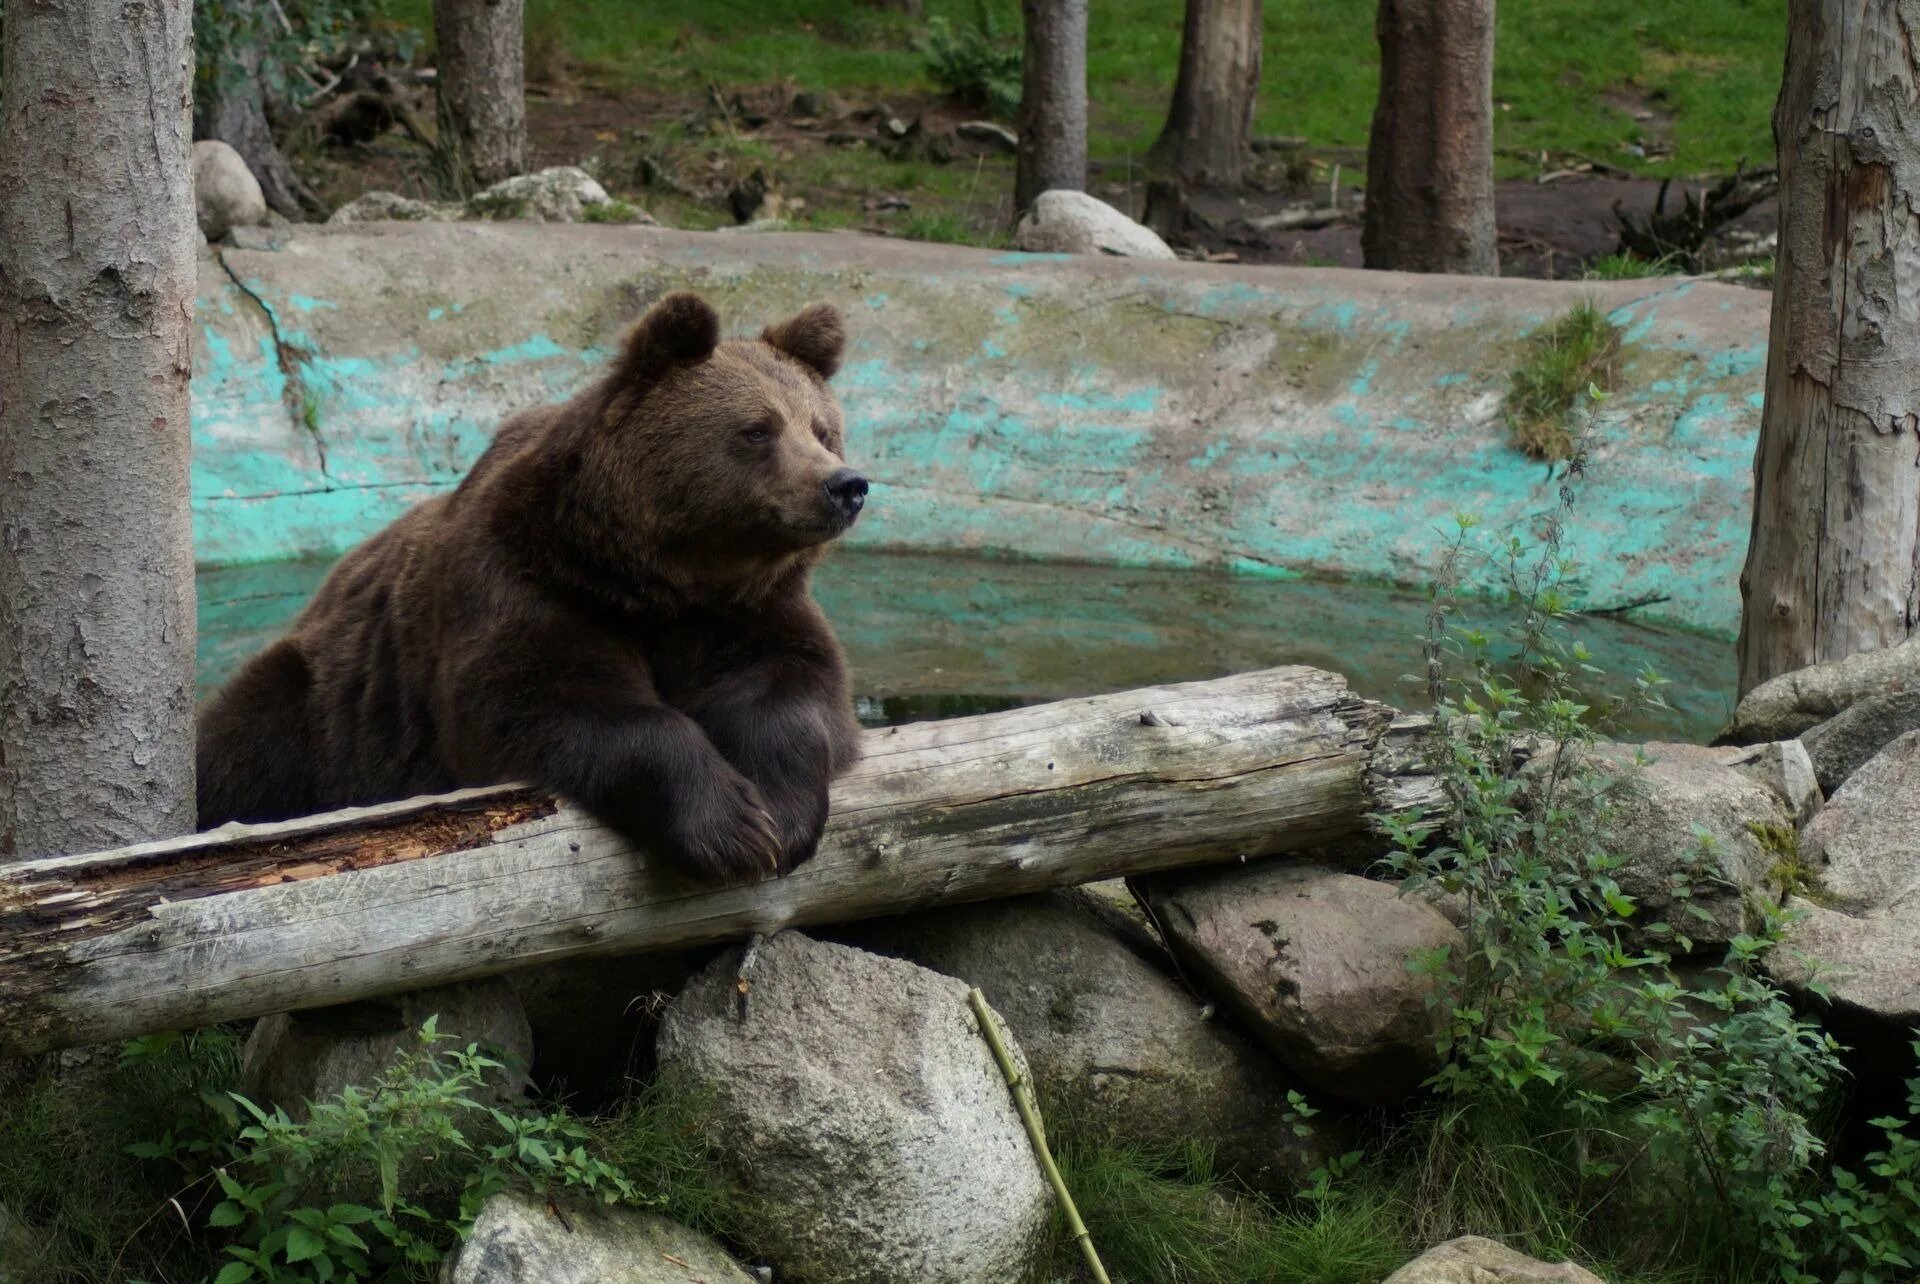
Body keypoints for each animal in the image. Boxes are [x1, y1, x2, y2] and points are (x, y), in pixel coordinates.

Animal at [192, 291, 864, 886]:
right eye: (757, 430)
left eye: (822, 429)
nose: (845, 485)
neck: (658, 578)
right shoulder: (522, 581)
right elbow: (546, 699)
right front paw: (731, 828)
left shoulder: (747, 609)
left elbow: (791, 684)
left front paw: (779, 814)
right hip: (327, 702)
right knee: (250, 737)